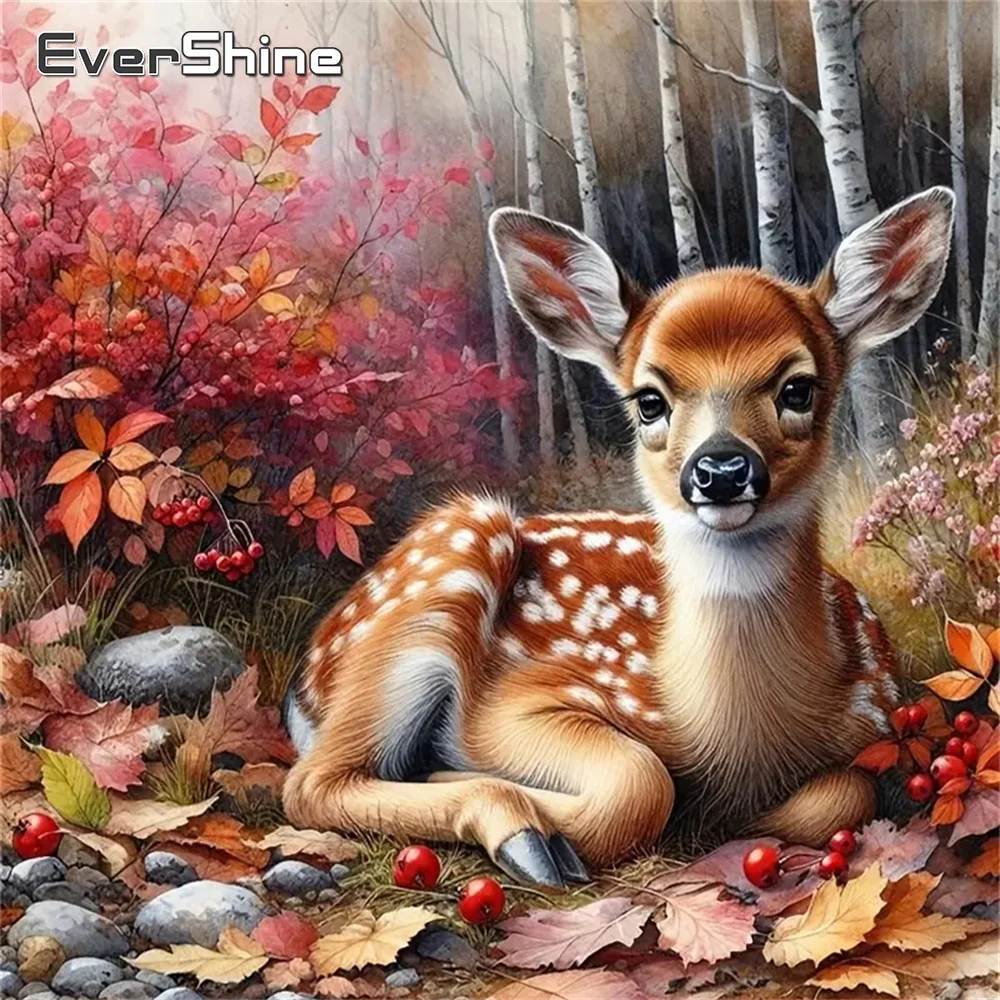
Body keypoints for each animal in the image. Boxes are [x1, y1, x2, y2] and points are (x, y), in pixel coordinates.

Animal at [282, 186, 955, 888]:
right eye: (649, 400)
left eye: (797, 388)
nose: (720, 470)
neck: (731, 738)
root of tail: (308, 673)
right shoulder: (515, 701)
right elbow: (643, 780)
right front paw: (532, 815)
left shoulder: (875, 714)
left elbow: (843, 795)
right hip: (445, 558)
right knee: (310, 783)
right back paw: (516, 826)